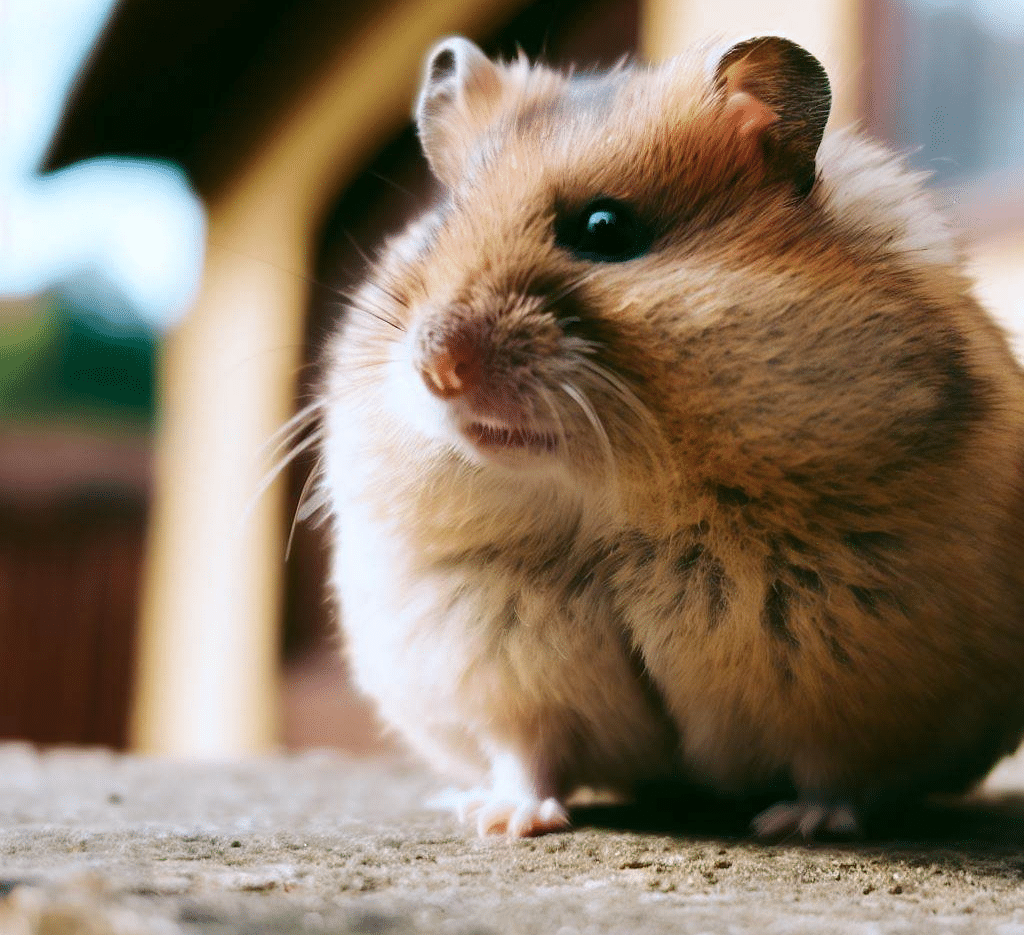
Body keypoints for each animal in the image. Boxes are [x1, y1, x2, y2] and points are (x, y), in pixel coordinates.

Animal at [317, 36, 1024, 839]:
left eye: (604, 229)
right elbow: (528, 752)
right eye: (436, 229)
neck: (615, 500)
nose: (437, 366)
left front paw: (802, 824)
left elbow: (833, 763)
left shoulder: (853, 671)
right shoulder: (495, 662)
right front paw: (505, 822)